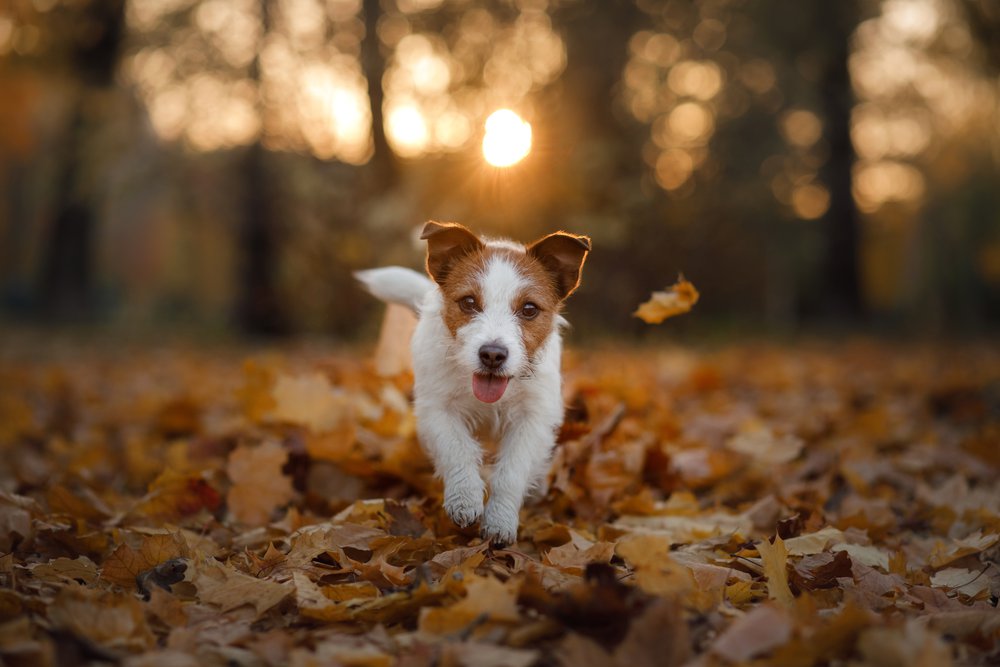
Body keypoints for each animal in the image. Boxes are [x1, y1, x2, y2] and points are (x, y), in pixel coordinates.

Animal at [358, 222, 588, 544]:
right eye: (468, 302)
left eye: (529, 309)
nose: (492, 354)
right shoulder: (437, 410)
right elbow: (456, 449)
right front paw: (464, 499)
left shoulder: (533, 418)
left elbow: (512, 471)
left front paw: (500, 520)